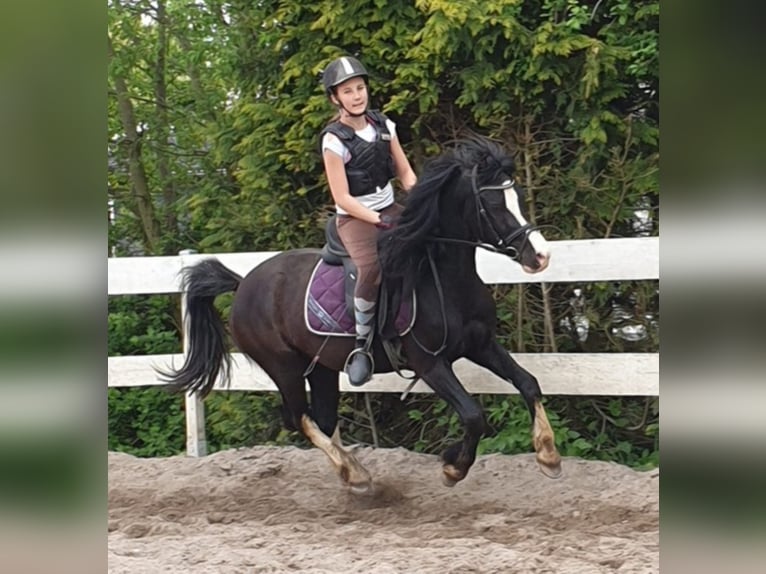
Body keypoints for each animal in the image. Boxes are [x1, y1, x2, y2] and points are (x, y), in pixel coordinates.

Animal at [159, 136, 562, 493]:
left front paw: (548, 456)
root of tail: (243, 283)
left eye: (518, 197)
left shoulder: (482, 345)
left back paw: (353, 470)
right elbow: (473, 415)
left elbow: (528, 383)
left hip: (321, 368)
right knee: (299, 418)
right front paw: (452, 467)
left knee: (322, 418)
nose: (541, 257)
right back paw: (353, 474)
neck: (441, 278)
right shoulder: (430, 364)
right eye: (492, 204)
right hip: (284, 367)